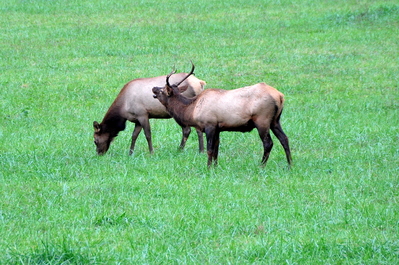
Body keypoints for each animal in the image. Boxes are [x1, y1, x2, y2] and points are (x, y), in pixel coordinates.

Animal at [152, 63, 292, 166]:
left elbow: (209, 149)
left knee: (268, 143)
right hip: (275, 120)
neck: (191, 111)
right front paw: (215, 166)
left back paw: (261, 165)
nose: (153, 88)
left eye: (163, 90)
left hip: (262, 120)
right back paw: (290, 164)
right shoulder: (218, 128)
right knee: (284, 138)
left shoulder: (210, 124)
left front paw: (208, 167)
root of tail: (280, 96)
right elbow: (216, 150)